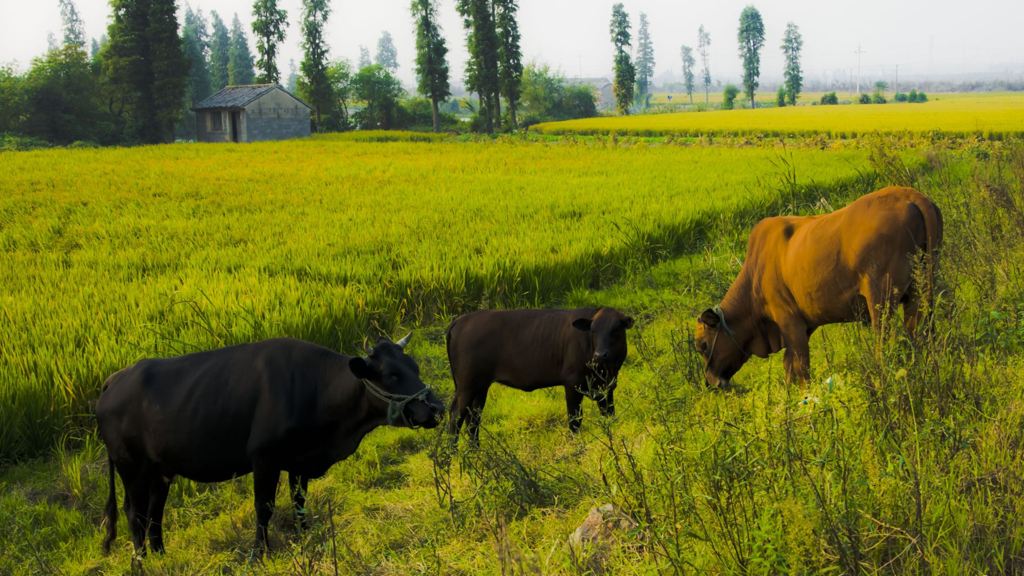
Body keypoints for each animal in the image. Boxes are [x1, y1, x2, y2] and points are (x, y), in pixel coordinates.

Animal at [96, 334, 444, 553]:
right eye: (391, 374)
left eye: (414, 367)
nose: (437, 407)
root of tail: (115, 379)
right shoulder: (265, 458)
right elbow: (264, 507)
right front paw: (260, 552)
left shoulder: (301, 459)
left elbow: (299, 500)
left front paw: (306, 535)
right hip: (132, 468)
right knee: (134, 514)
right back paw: (141, 561)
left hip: (160, 471)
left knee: (154, 513)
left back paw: (160, 555)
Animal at [446, 307, 630, 440]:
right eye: (593, 331)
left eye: (616, 330)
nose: (600, 355)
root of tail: (461, 319)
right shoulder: (572, 383)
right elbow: (574, 421)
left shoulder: (607, 388)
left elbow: (609, 415)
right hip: (467, 385)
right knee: (456, 417)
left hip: (480, 386)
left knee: (473, 419)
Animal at [696, 186, 942, 385]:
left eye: (702, 345)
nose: (710, 382)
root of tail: (908, 195)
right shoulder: (804, 325)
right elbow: (790, 367)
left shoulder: (789, 321)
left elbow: (800, 367)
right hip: (919, 293)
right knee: (917, 333)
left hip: (881, 298)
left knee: (883, 340)